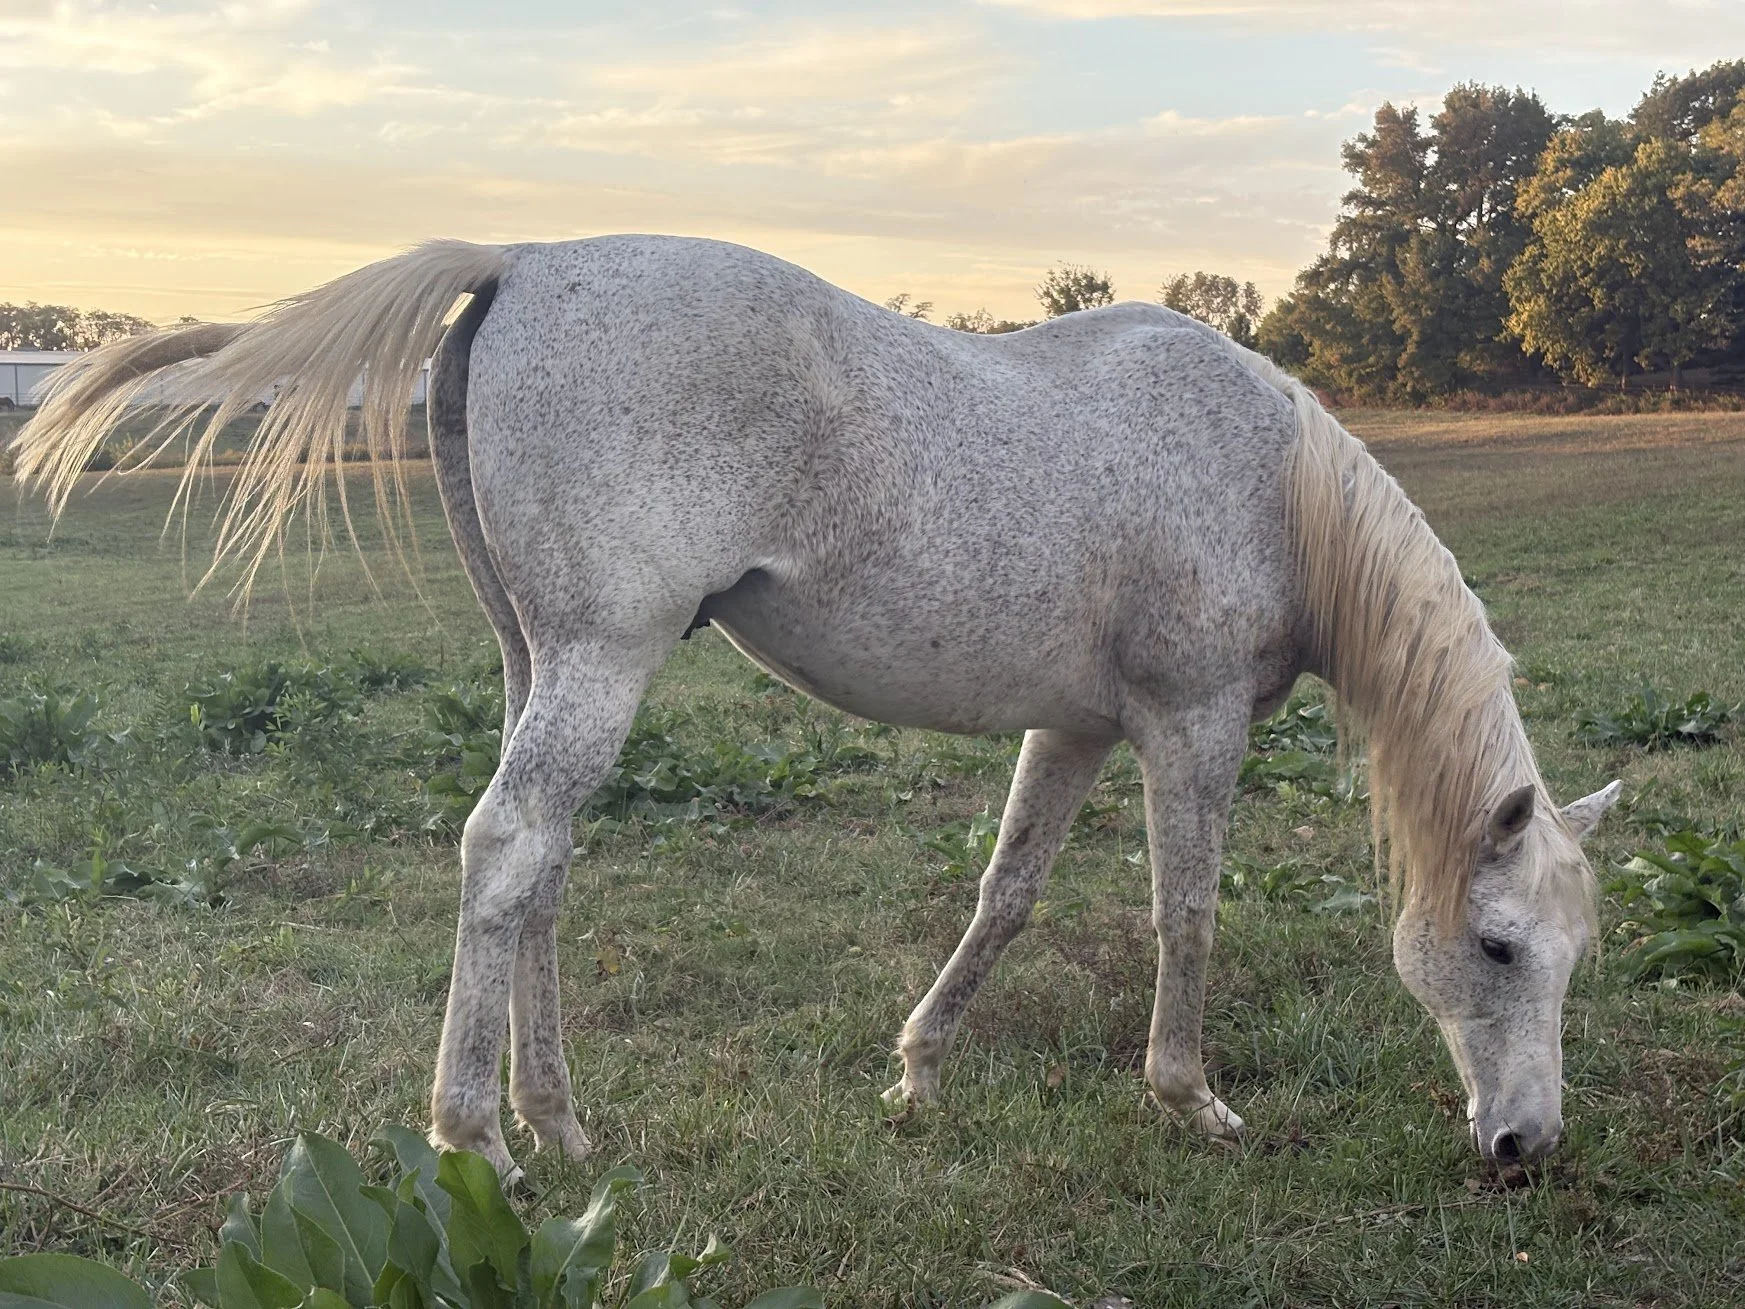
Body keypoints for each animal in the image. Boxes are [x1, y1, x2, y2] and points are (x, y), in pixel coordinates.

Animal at [13, 235, 1621, 1179]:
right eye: (1496, 946)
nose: (1523, 1144)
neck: (1267, 483)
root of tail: (522, 261)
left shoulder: (1076, 728)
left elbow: (1005, 894)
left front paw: (917, 1070)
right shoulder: (1188, 724)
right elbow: (1187, 913)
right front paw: (1186, 1096)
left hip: (545, 662)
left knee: (538, 871)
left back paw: (558, 1123)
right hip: (602, 659)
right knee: (505, 851)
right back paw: (475, 1140)